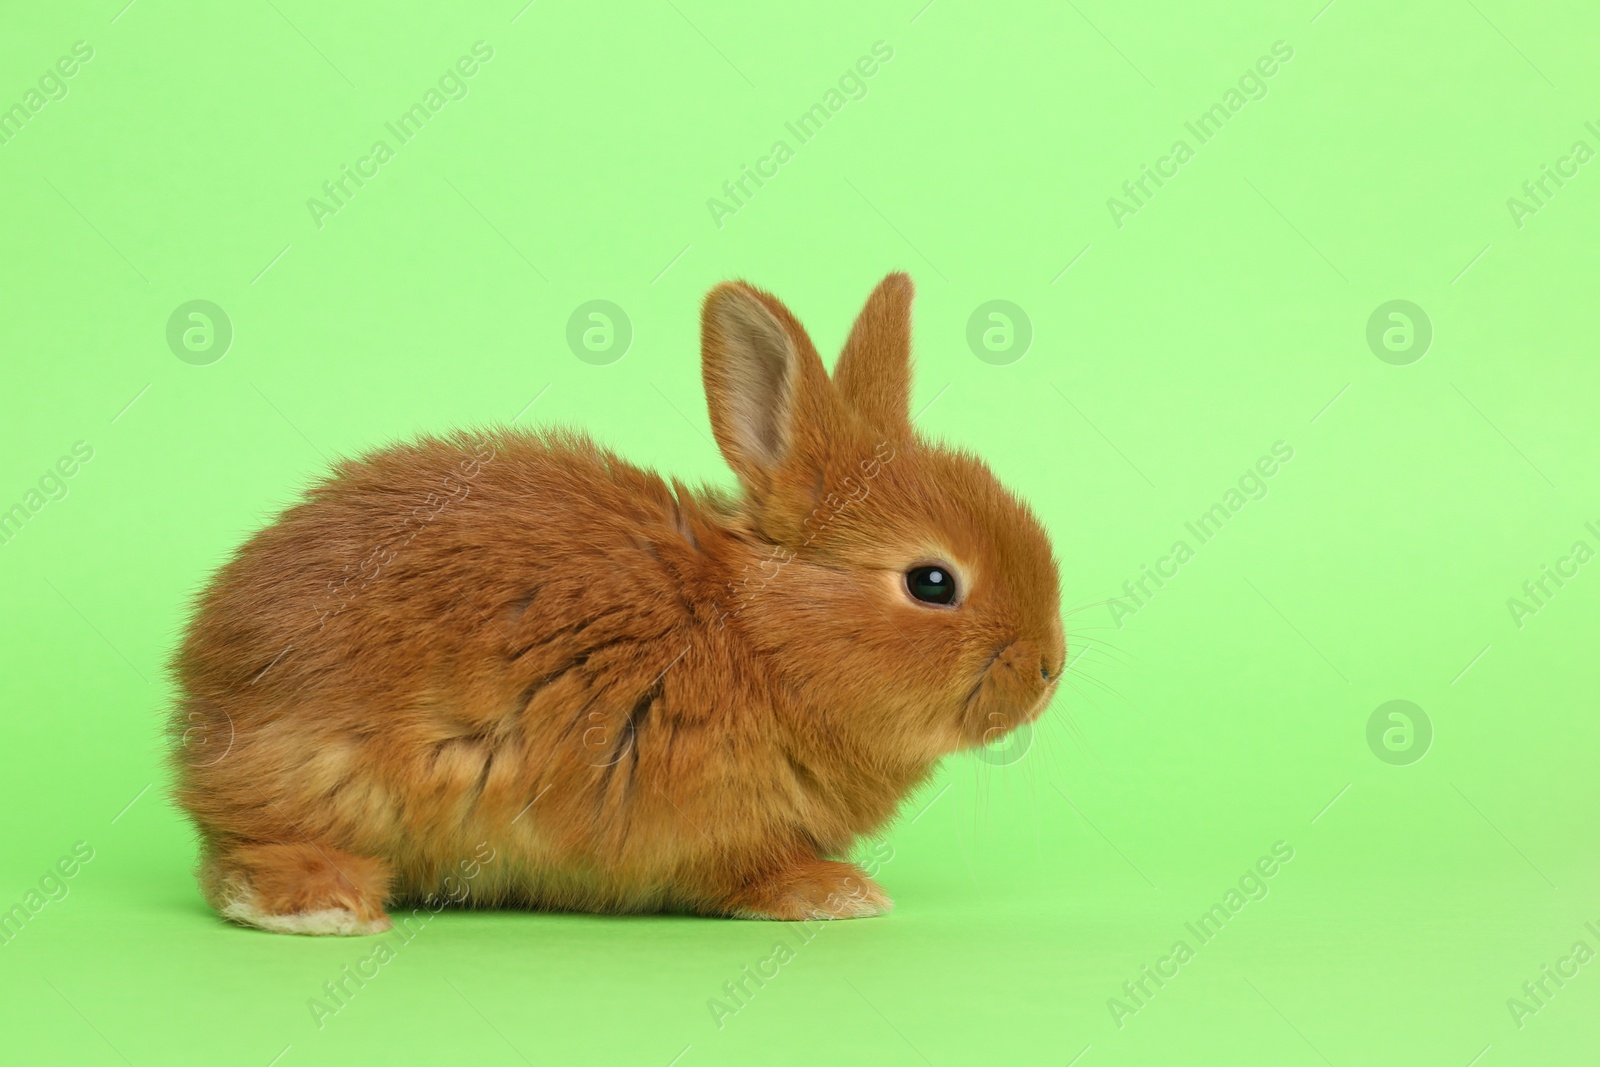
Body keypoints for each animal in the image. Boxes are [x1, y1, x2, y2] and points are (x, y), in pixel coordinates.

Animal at [168, 273, 1062, 934]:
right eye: (932, 582)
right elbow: (752, 874)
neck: (759, 633)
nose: (1050, 668)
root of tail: (198, 684)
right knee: (241, 865)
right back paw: (326, 906)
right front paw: (834, 894)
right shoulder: (720, 824)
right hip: (330, 782)